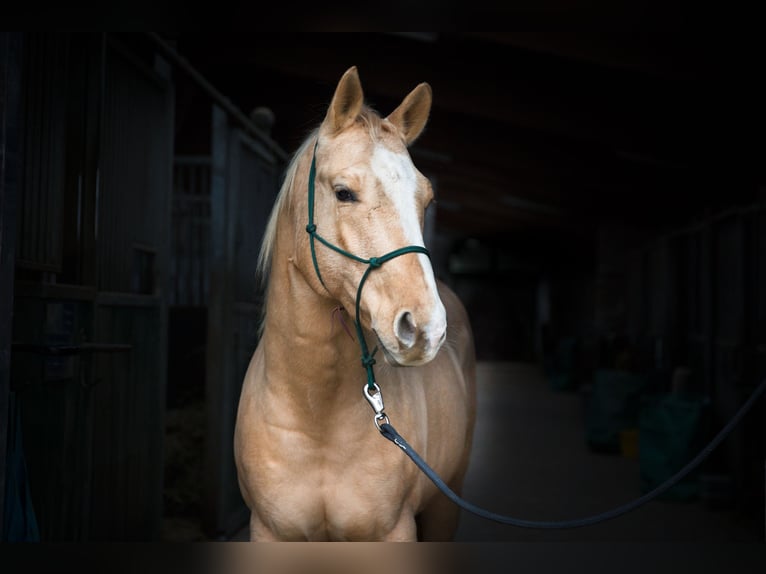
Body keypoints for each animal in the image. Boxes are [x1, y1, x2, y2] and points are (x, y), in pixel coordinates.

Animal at [234, 65, 476, 544]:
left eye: (426, 199)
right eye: (344, 192)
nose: (426, 329)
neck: (315, 417)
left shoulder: (394, 532)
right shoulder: (268, 532)